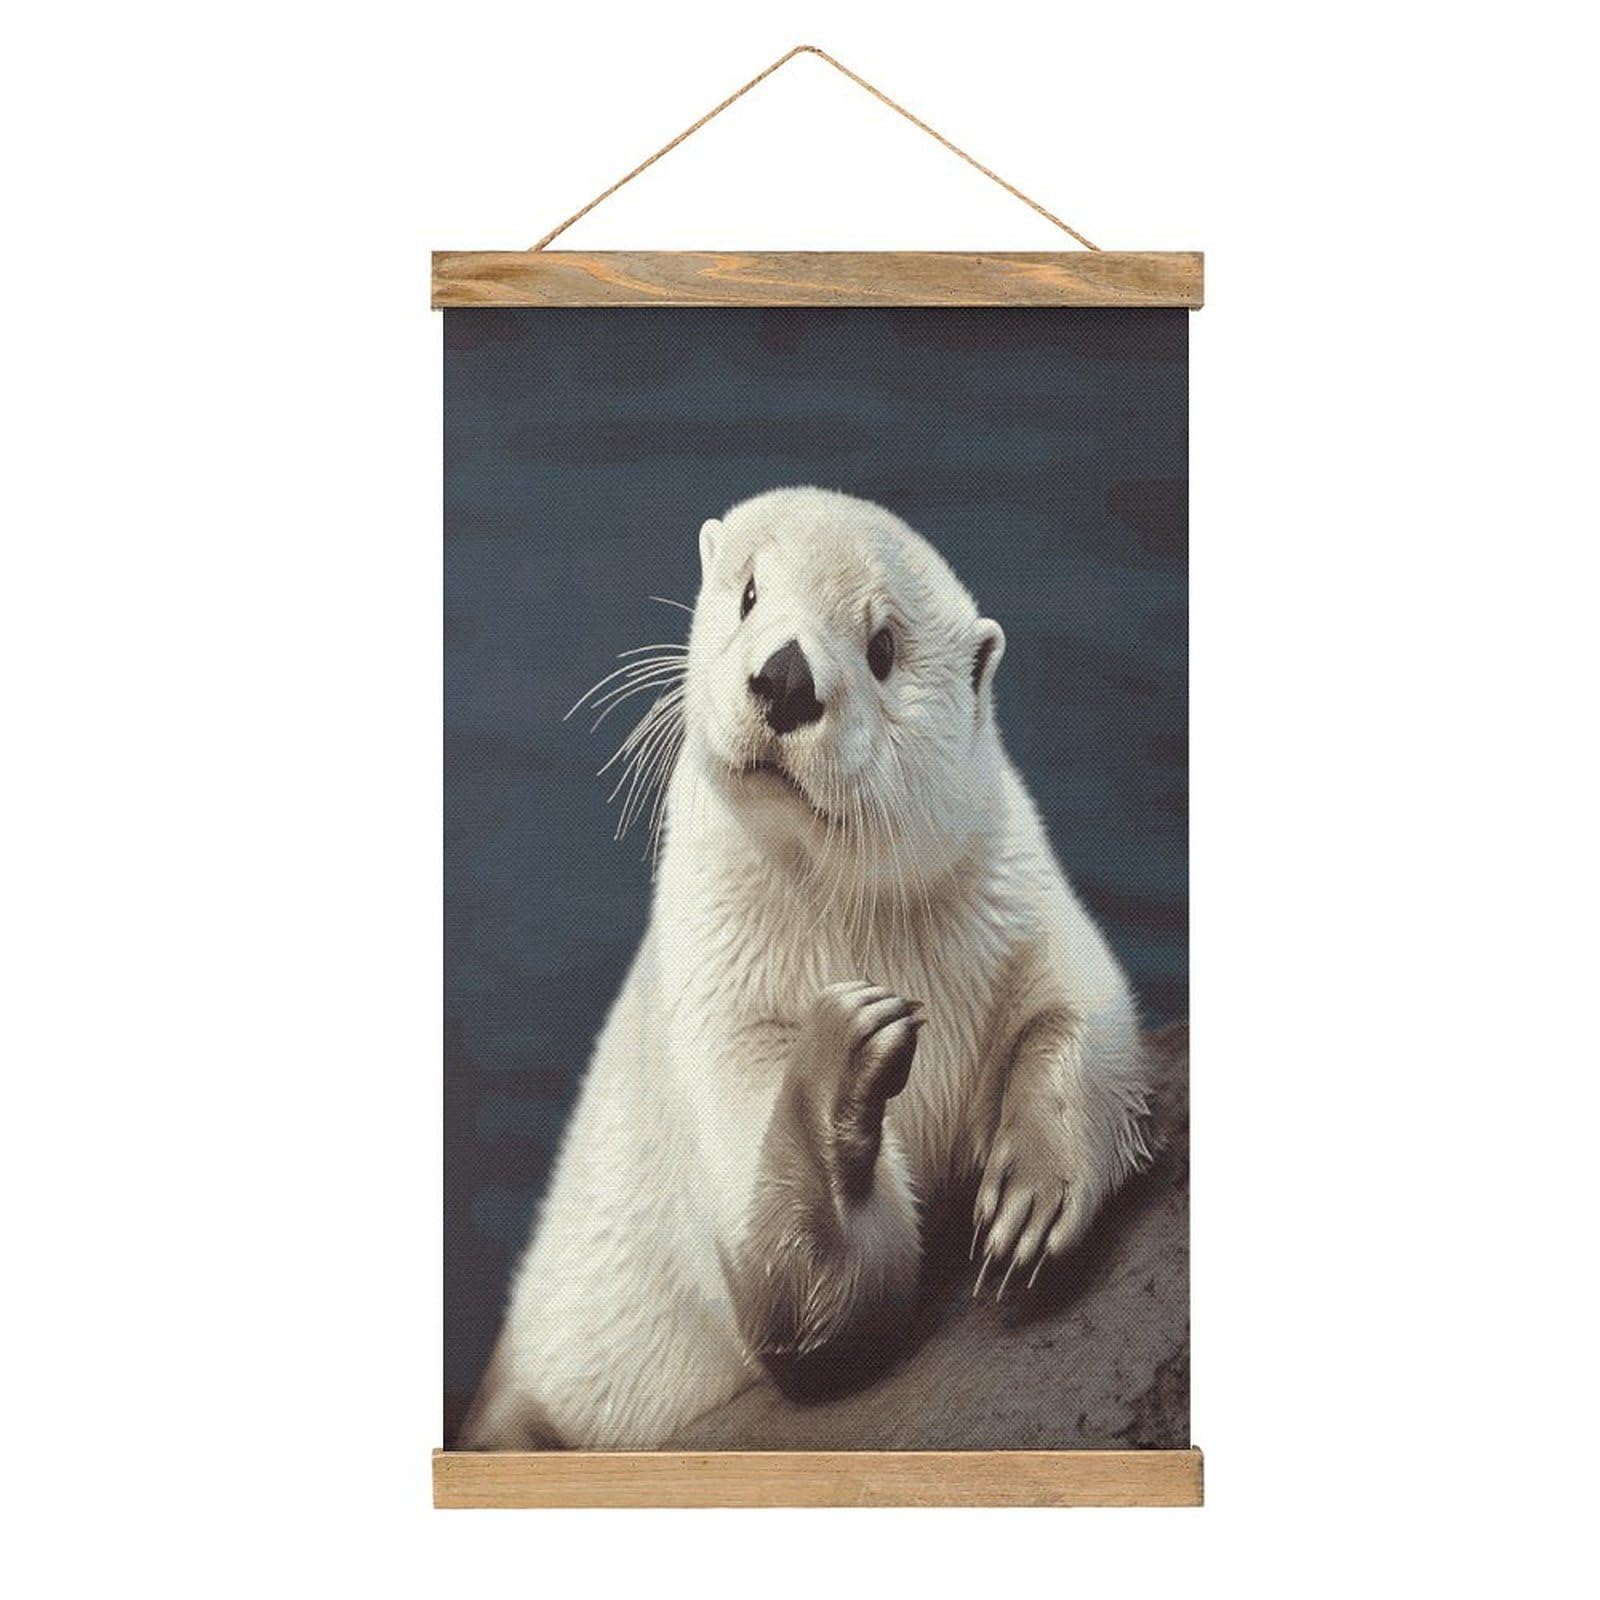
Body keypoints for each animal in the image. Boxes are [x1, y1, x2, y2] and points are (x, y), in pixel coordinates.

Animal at [460, 487, 1153, 1450]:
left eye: (883, 647)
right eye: (750, 594)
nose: (786, 677)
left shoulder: (1025, 907)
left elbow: (1087, 1019)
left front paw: (1034, 1193)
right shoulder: (719, 1025)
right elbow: (818, 1294)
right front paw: (843, 1056)